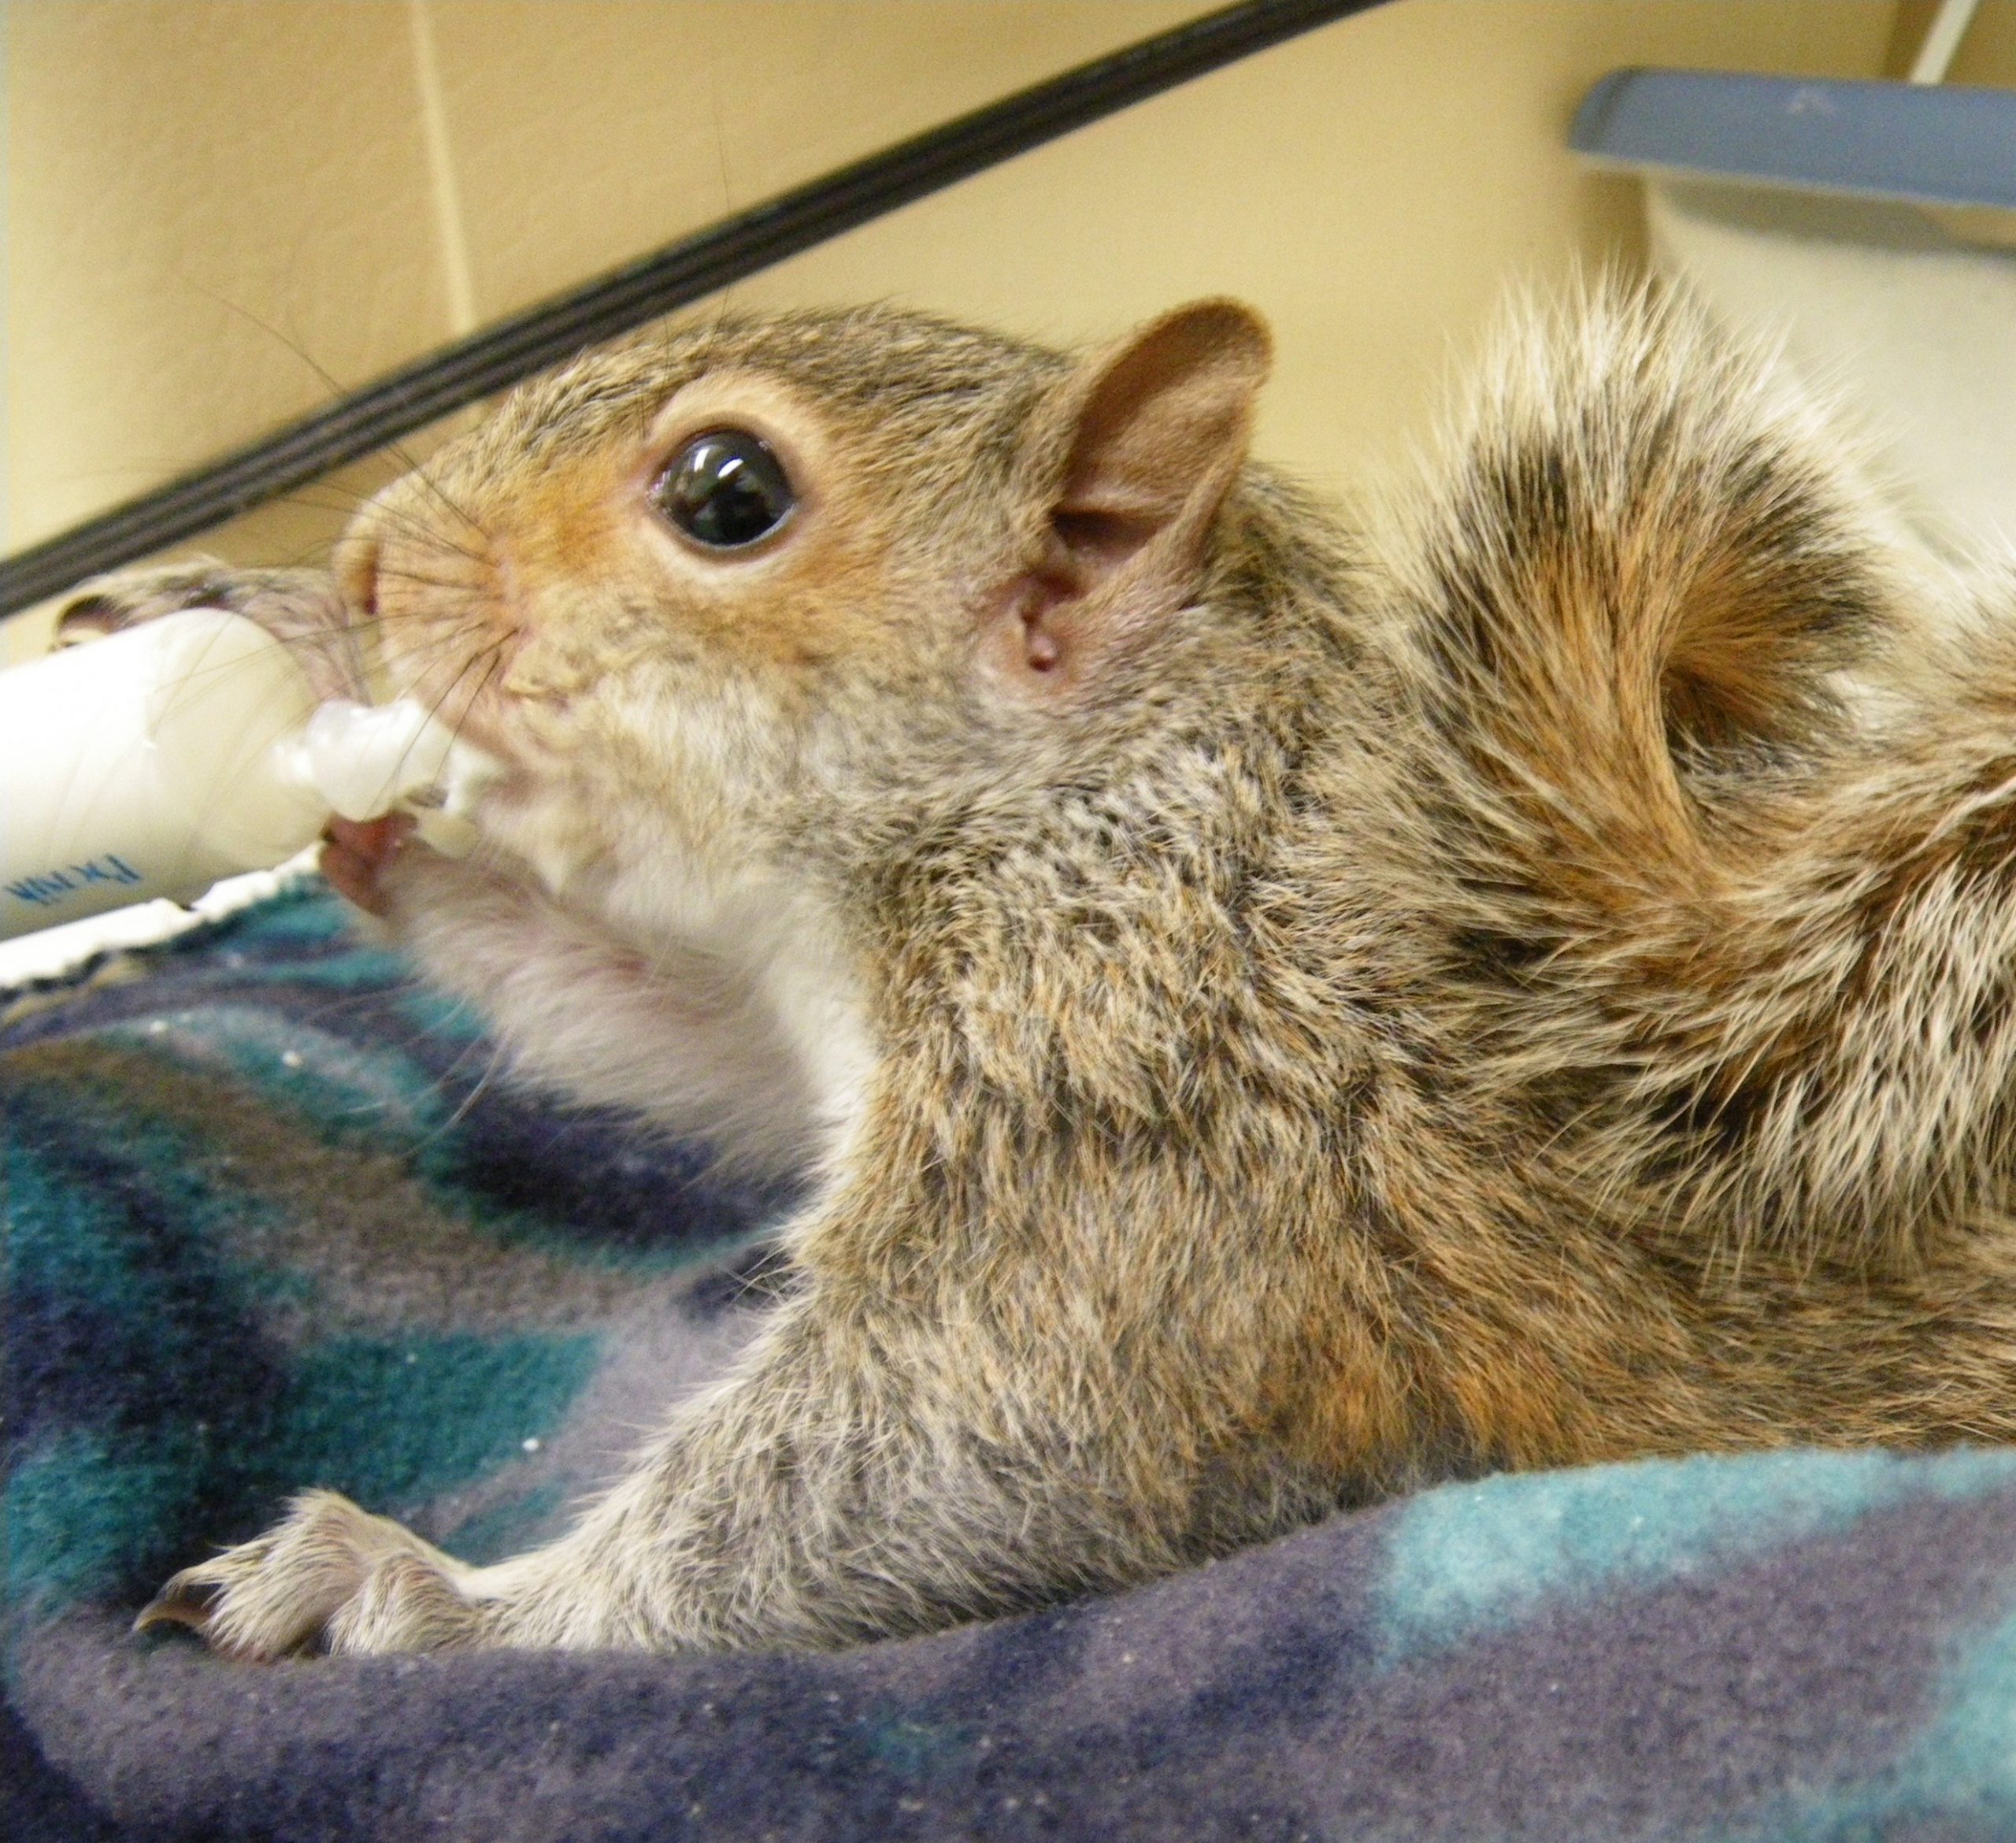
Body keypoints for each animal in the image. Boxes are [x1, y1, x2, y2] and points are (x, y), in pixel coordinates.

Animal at [78, 284, 2016, 1653]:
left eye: (727, 494)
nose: (362, 562)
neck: (1101, 812)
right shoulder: (808, 1027)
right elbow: (671, 1037)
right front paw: (326, 752)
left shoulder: (1130, 1136)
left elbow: (917, 1470)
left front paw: (411, 1592)